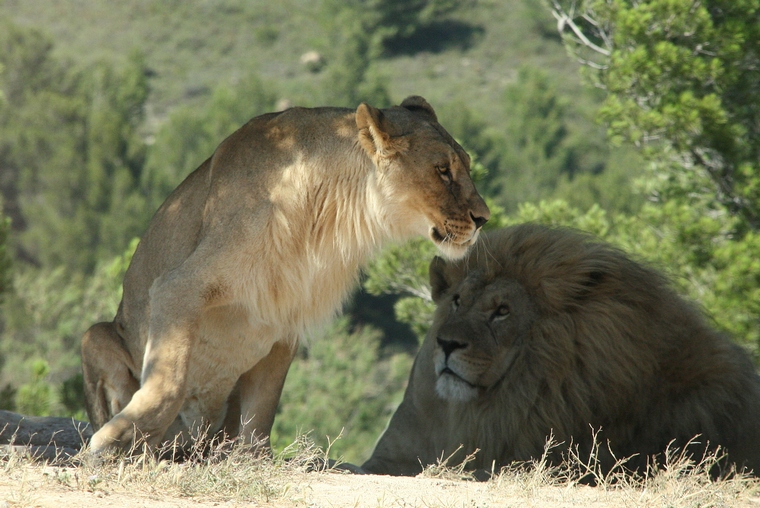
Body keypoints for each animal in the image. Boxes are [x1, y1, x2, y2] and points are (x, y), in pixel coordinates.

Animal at [80, 97, 490, 454]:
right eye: (442, 170)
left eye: (467, 165)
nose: (483, 217)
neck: (325, 215)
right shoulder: (177, 286)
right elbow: (170, 378)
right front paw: (115, 440)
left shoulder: (284, 320)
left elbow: (263, 408)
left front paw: (252, 460)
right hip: (95, 335)